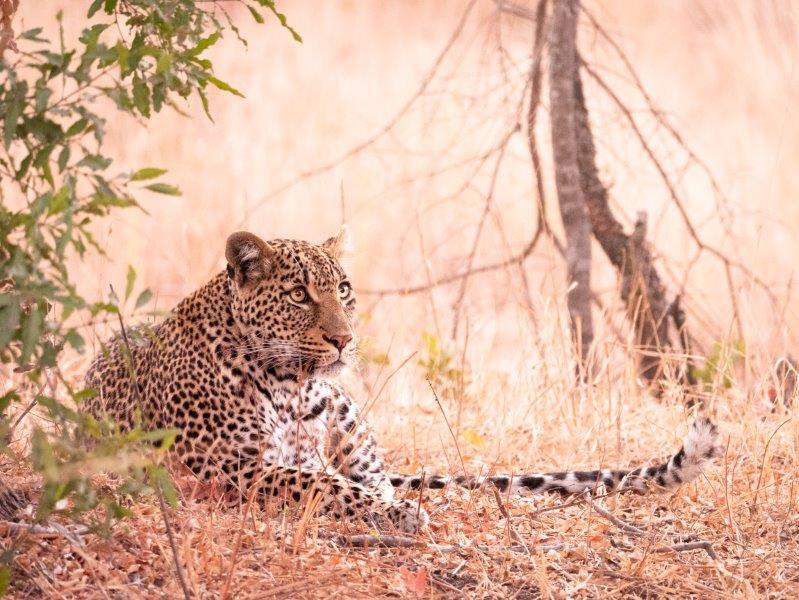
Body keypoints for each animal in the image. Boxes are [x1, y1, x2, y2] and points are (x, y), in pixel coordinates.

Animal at [84, 227, 720, 532]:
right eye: (299, 294)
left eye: (342, 289)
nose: (343, 340)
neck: (290, 385)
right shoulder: (234, 466)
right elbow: (322, 486)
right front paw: (391, 514)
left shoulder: (308, 437)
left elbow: (339, 481)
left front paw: (390, 508)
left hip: (346, 410)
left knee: (376, 473)